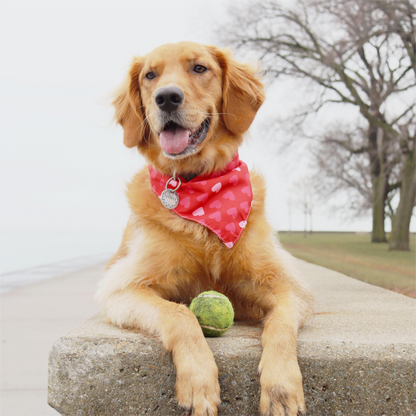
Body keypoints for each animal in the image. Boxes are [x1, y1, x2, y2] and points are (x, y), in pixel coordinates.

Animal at [96, 41, 314, 416]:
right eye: (150, 75)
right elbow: (179, 313)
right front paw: (199, 382)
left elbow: (281, 323)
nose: (167, 98)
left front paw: (281, 386)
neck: (198, 187)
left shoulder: (287, 285)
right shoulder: (121, 287)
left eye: (199, 68)